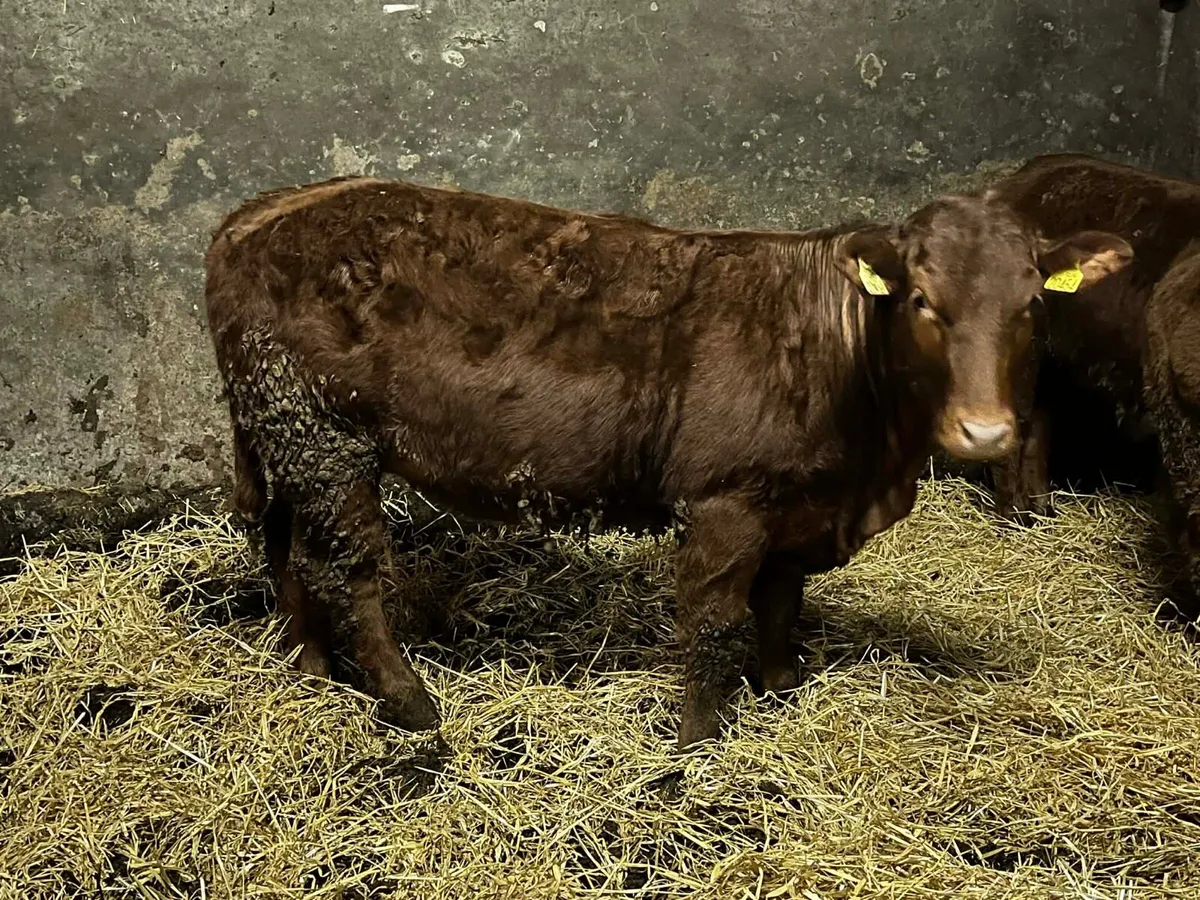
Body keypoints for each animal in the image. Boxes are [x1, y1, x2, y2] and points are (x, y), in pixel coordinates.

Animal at [203, 175, 1130, 748]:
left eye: (1032, 302)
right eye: (922, 302)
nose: (985, 433)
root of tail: (266, 210)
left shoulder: (795, 499)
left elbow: (781, 601)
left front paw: (781, 683)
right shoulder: (725, 500)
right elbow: (715, 620)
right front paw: (697, 739)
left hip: (286, 441)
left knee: (287, 554)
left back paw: (311, 670)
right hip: (328, 441)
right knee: (347, 571)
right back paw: (410, 702)